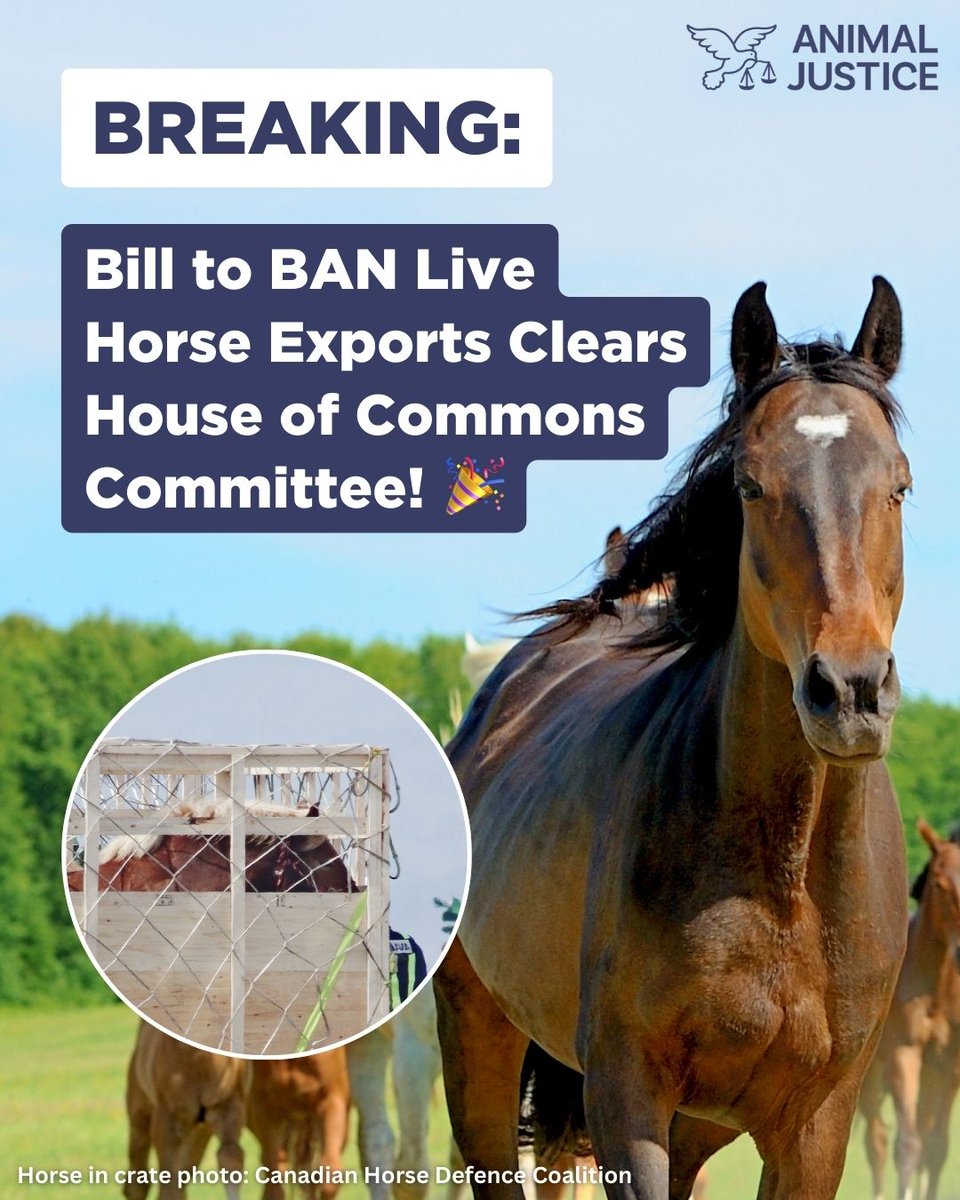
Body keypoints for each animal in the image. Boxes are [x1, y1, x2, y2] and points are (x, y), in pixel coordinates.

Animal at [435, 277, 911, 1200]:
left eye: (900, 486)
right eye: (752, 487)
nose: (850, 693)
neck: (782, 878)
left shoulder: (814, 1125)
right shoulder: (628, 1098)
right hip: (479, 1039)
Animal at [860, 821, 960, 1200]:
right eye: (938, 883)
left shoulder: (949, 1066)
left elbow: (937, 1146)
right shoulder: (904, 1054)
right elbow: (908, 1145)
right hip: (870, 1075)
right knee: (876, 1141)